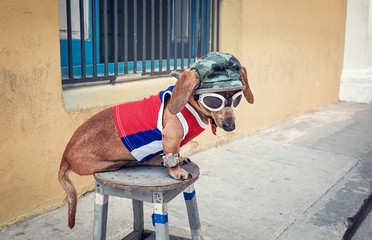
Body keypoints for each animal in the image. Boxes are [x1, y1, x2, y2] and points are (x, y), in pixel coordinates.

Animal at [58, 60, 254, 229]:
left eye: (237, 98)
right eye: (213, 101)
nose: (230, 126)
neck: (191, 105)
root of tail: (65, 155)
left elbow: (175, 154)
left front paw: (179, 159)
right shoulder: (170, 137)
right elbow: (172, 156)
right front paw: (176, 171)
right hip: (113, 163)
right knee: (134, 162)